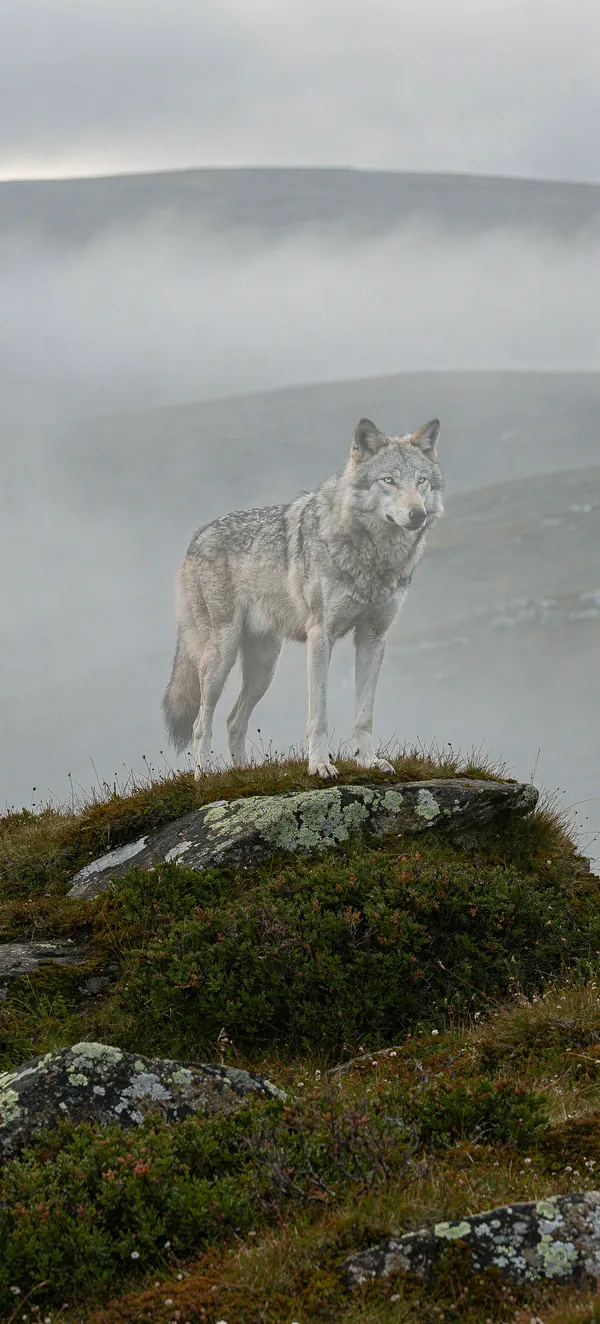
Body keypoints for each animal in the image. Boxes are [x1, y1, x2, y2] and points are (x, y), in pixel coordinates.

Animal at [162, 416, 444, 778]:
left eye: (420, 481)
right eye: (388, 480)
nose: (417, 515)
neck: (373, 558)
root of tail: (196, 538)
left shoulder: (373, 637)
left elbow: (364, 715)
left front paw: (368, 761)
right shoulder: (320, 636)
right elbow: (319, 715)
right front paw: (320, 765)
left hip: (264, 667)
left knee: (234, 721)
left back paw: (243, 775)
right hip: (220, 657)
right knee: (202, 722)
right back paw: (205, 780)